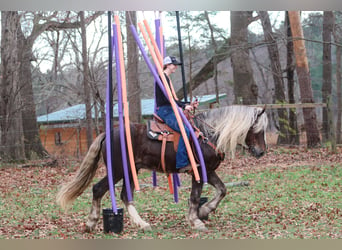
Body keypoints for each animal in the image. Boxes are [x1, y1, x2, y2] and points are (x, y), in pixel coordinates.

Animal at [56, 104, 268, 231]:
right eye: (257, 129)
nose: (261, 152)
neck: (207, 134)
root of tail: (108, 134)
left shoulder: (209, 170)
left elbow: (222, 190)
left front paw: (204, 211)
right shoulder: (199, 172)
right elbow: (195, 197)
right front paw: (196, 220)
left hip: (131, 171)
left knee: (124, 195)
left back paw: (141, 223)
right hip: (117, 170)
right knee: (98, 189)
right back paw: (91, 222)